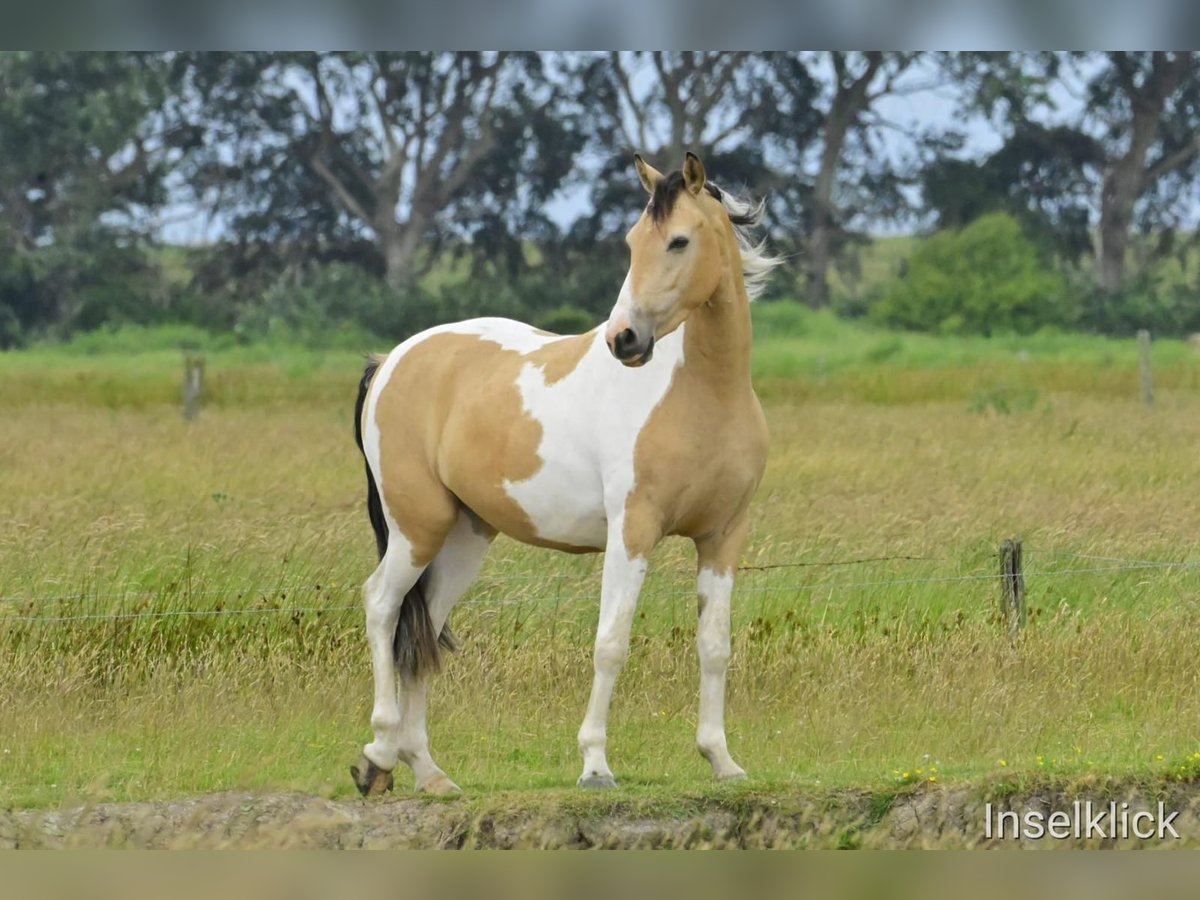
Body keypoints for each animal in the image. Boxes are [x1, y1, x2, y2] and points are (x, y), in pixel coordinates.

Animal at [350, 153, 777, 796]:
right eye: (631, 242)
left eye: (678, 240)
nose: (624, 339)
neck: (702, 393)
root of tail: (392, 360)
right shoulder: (632, 534)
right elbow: (611, 644)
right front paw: (596, 764)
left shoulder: (723, 536)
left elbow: (715, 647)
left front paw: (721, 760)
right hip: (416, 530)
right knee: (382, 606)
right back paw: (377, 755)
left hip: (463, 538)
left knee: (423, 634)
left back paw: (428, 772)